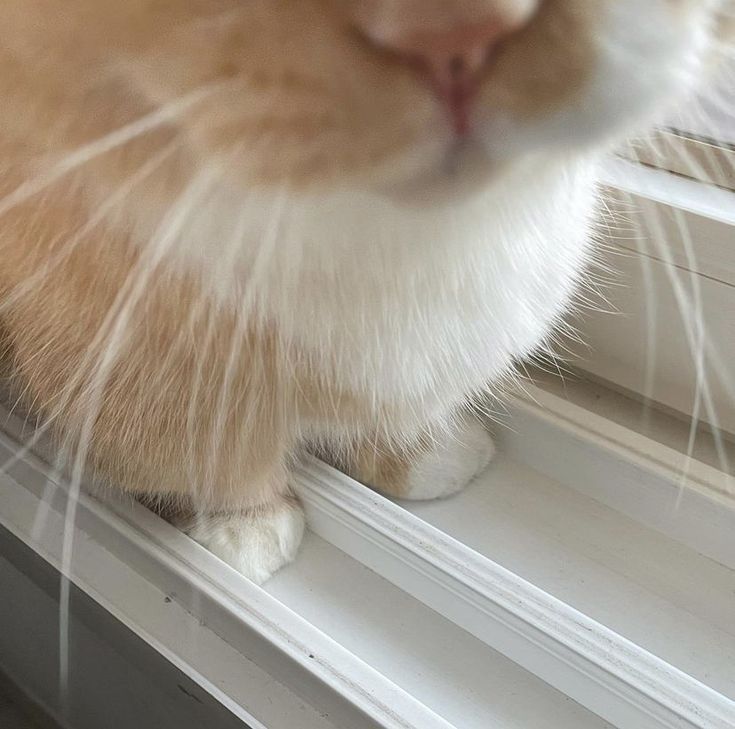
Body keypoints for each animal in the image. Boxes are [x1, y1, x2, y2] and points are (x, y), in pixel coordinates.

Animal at [0, 0, 728, 580]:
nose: (455, 31)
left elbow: (383, 418)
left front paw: (435, 457)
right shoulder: (135, 385)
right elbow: (203, 460)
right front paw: (244, 534)